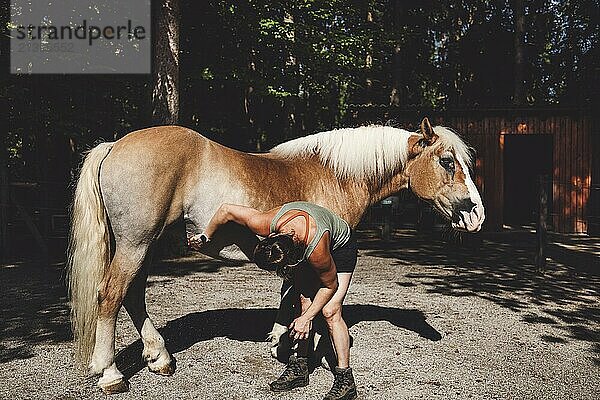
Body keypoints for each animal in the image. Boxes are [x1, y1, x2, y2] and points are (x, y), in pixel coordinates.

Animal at [68, 116, 486, 394]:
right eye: (447, 161)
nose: (476, 214)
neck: (335, 175)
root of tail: (114, 145)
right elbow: (312, 308)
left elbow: (291, 300)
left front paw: (280, 340)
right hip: (136, 242)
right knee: (111, 295)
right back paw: (110, 373)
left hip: (145, 244)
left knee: (134, 295)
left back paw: (159, 358)